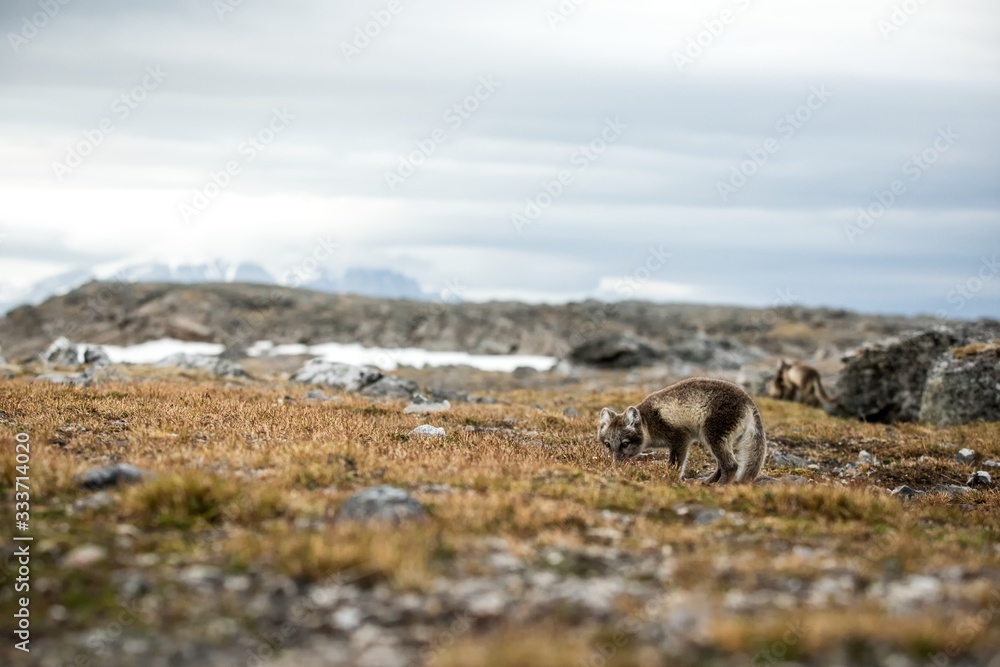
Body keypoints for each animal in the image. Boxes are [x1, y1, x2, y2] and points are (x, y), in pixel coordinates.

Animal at [598, 377, 766, 484]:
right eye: (607, 444)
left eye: (625, 444)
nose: (616, 466)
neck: (649, 423)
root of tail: (749, 402)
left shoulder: (680, 438)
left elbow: (676, 464)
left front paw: (669, 478)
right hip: (714, 439)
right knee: (722, 464)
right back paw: (708, 482)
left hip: (713, 435)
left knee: (731, 465)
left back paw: (721, 485)